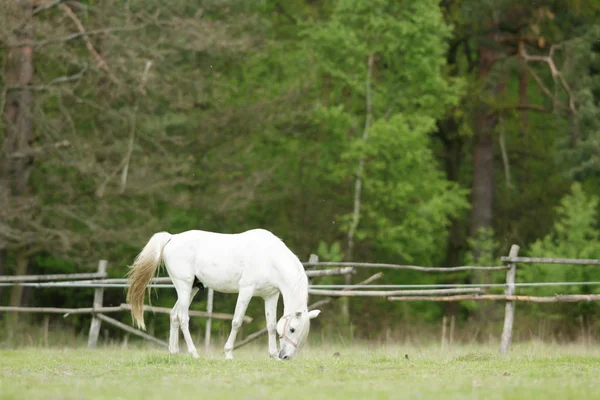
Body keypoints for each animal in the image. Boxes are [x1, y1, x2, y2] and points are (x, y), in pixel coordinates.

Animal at [126, 230, 322, 360]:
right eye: (292, 329)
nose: (285, 356)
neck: (270, 258)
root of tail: (172, 238)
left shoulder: (270, 296)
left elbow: (271, 325)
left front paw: (272, 355)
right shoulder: (246, 290)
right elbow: (236, 321)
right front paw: (228, 353)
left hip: (192, 289)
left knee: (174, 314)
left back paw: (174, 352)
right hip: (184, 286)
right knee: (183, 317)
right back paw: (194, 353)